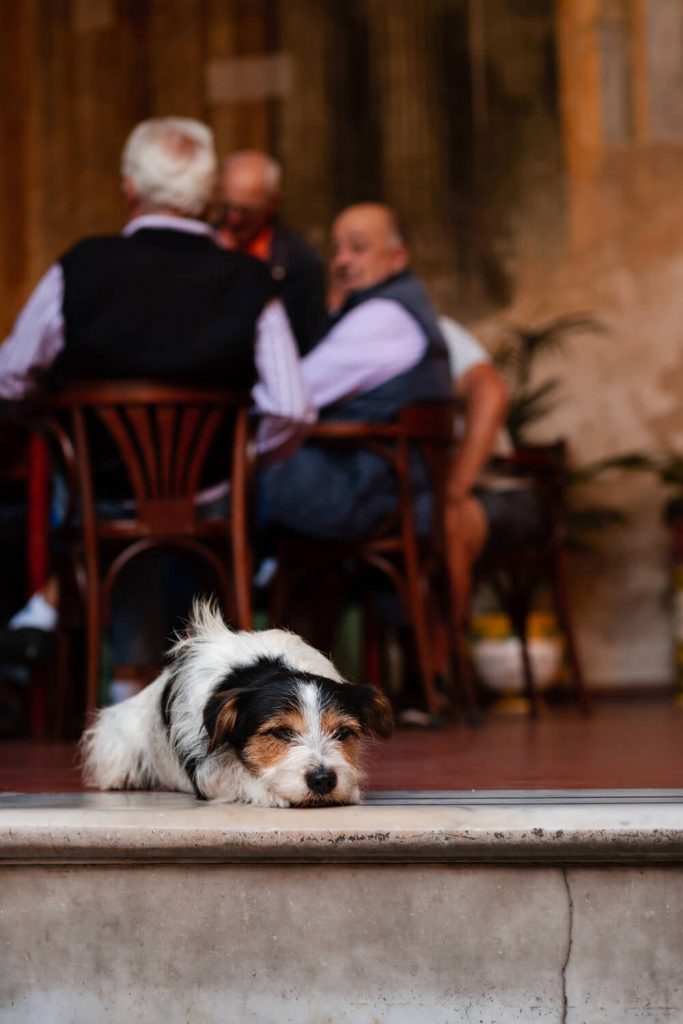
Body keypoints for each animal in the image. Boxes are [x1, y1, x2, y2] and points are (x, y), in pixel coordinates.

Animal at [78, 598, 395, 806]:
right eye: (280, 732)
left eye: (343, 733)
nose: (323, 780)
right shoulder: (206, 769)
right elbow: (232, 775)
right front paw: (269, 791)